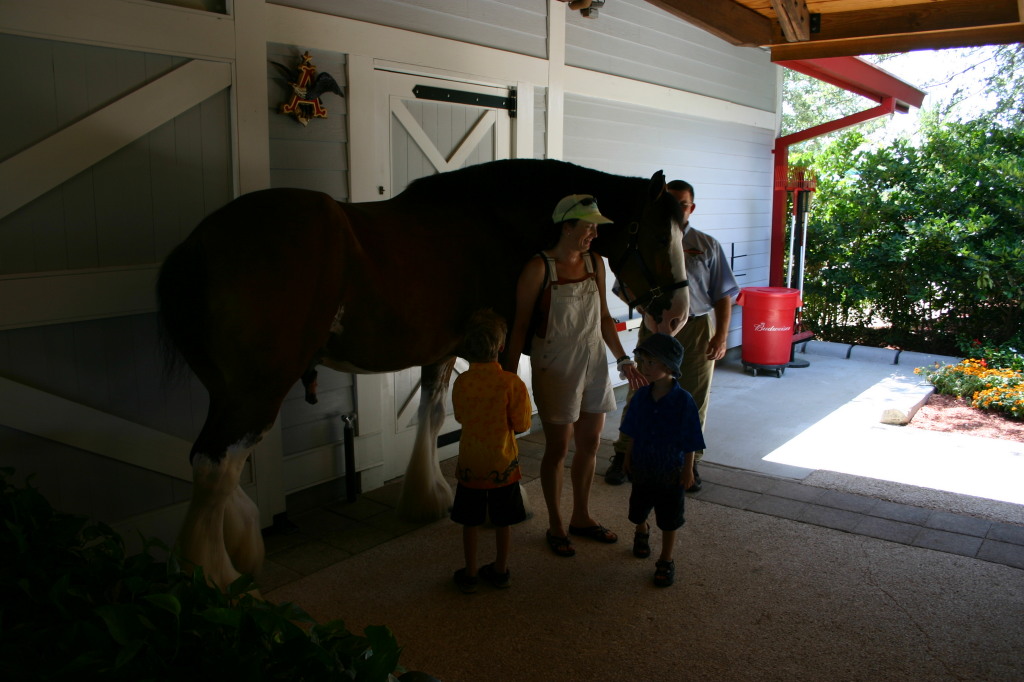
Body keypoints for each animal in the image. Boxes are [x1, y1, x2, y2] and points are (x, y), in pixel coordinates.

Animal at [157, 158, 690, 590]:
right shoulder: (500, 347)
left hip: (234, 388)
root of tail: (196, 245)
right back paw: (214, 574)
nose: (678, 313)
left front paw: (426, 497)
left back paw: (235, 542)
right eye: (653, 232)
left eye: (683, 230)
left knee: (218, 466)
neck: (496, 221)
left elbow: (431, 416)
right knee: (214, 464)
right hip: (258, 386)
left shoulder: (442, 352)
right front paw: (513, 499)